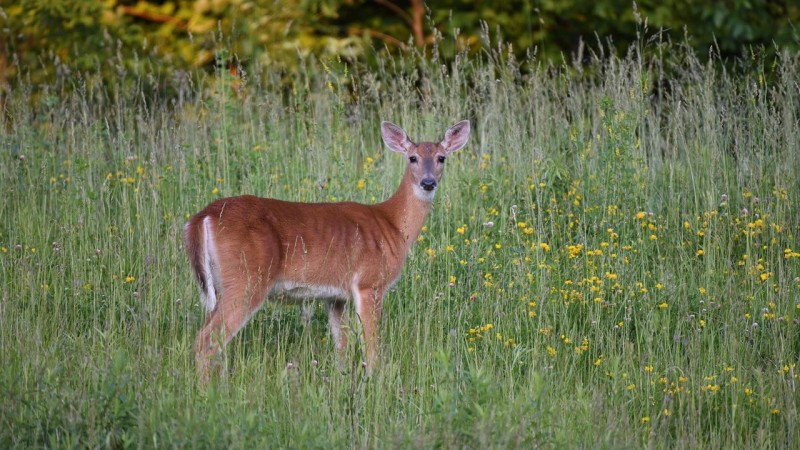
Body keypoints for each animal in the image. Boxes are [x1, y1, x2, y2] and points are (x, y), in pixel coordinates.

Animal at [183, 120, 468, 380]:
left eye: (441, 157)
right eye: (412, 158)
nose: (428, 183)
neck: (393, 226)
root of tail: (202, 217)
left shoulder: (335, 296)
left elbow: (341, 345)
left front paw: (341, 379)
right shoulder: (369, 283)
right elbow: (371, 345)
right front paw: (374, 381)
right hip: (246, 279)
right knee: (204, 341)